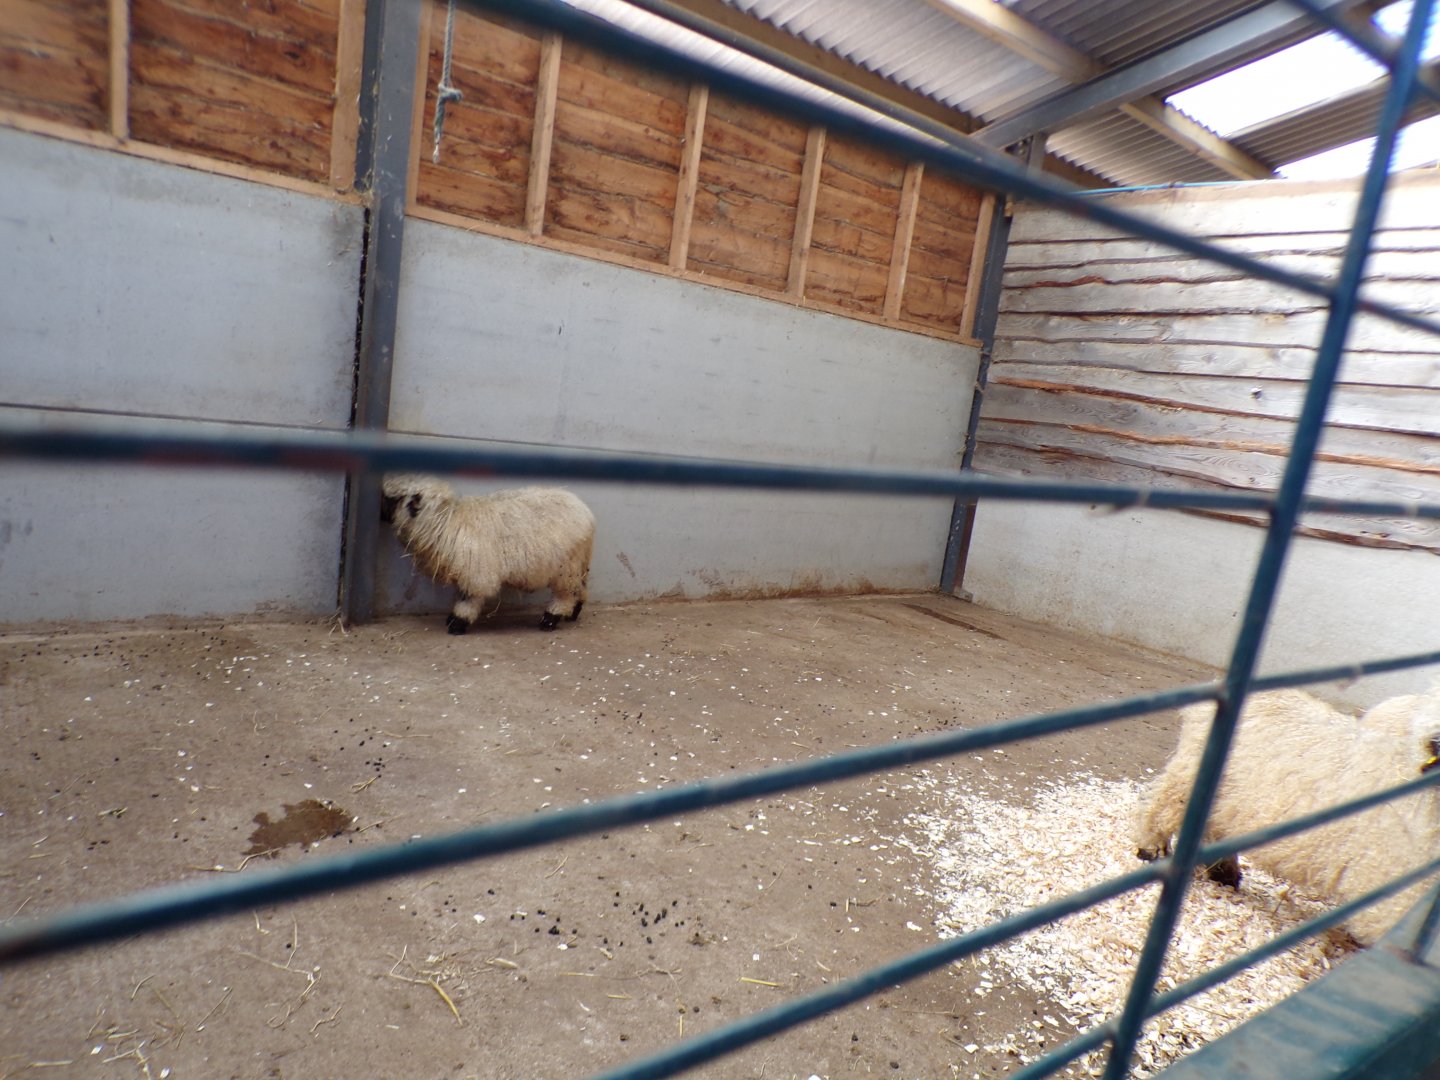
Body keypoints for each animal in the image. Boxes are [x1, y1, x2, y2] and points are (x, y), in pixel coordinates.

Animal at [381, 474, 595, 635]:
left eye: (393, 499)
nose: (379, 514)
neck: (446, 522)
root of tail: (586, 512)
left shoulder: (475, 574)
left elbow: (468, 599)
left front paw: (457, 623)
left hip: (567, 567)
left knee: (566, 594)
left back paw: (551, 618)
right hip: (578, 564)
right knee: (580, 589)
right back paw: (573, 613)